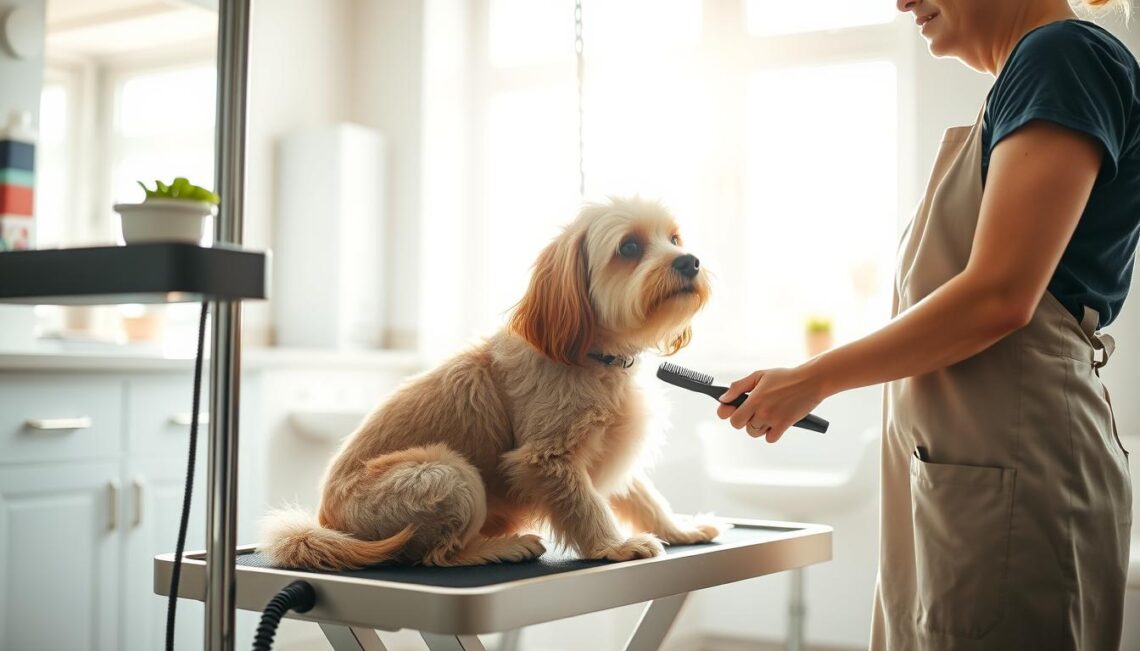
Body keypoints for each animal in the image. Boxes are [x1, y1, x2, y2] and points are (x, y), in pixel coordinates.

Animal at [259, 196, 720, 567]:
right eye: (629, 247)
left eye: (674, 238)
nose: (690, 261)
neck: (594, 358)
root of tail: (325, 525)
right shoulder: (548, 460)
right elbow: (586, 506)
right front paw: (613, 546)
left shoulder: (610, 450)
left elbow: (645, 496)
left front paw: (679, 529)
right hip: (447, 473)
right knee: (437, 556)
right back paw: (502, 547)